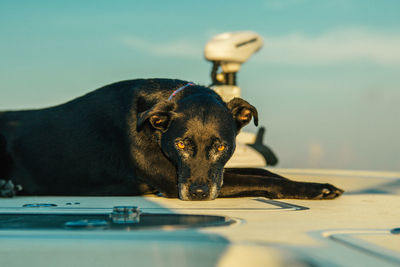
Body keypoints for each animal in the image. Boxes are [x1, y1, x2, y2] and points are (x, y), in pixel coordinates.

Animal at [0, 79, 344, 201]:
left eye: (221, 146)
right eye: (180, 145)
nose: (198, 194)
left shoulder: (217, 173)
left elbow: (262, 172)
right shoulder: (171, 178)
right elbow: (262, 179)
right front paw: (313, 189)